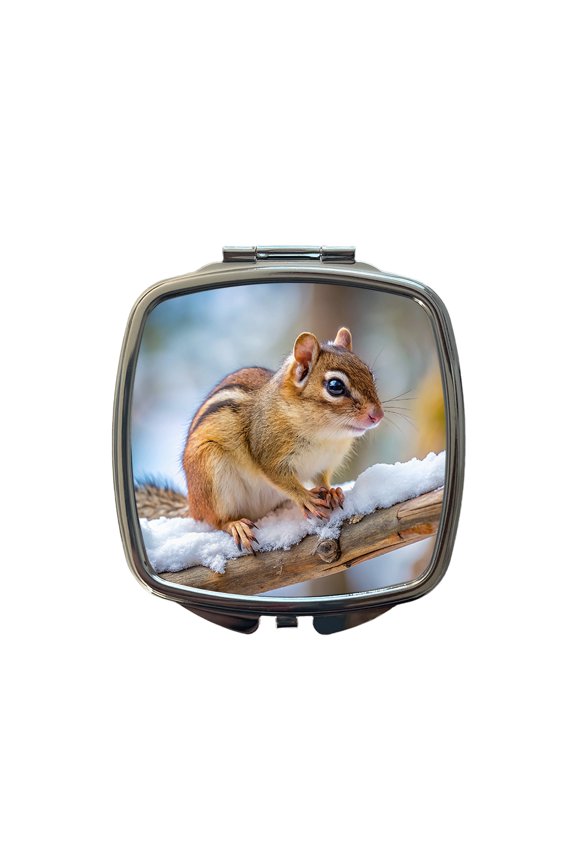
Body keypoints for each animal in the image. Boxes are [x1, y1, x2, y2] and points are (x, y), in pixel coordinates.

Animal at [136, 327, 383, 552]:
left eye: (369, 374)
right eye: (335, 386)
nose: (378, 415)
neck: (327, 434)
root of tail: (192, 504)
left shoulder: (325, 462)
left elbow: (321, 478)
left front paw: (330, 491)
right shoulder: (268, 453)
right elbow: (281, 479)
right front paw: (305, 497)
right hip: (210, 473)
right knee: (214, 520)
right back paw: (235, 525)